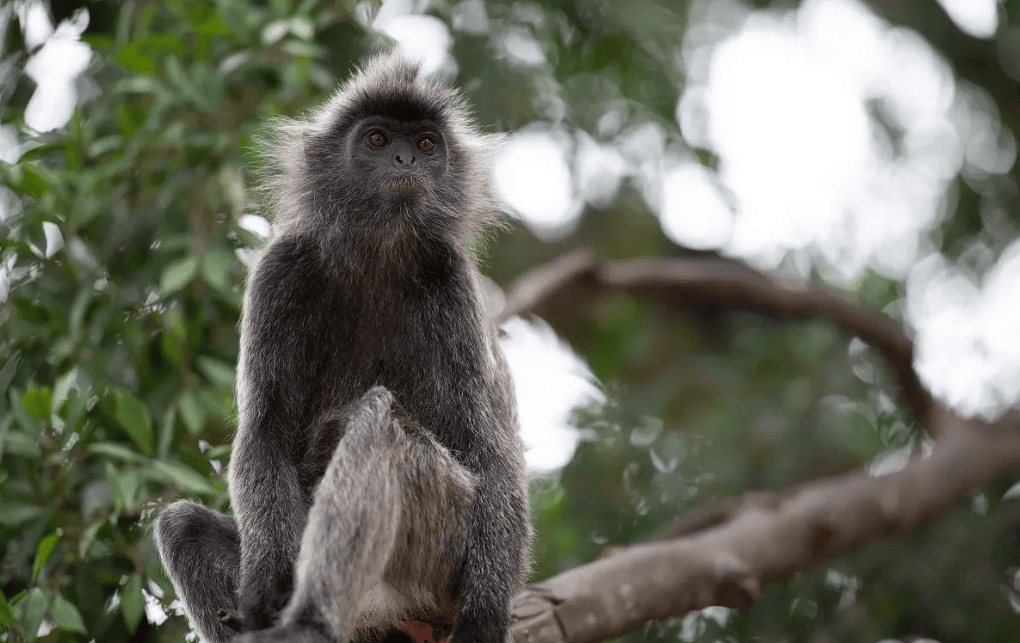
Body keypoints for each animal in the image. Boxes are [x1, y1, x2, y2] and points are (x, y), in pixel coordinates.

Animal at [157, 51, 534, 643]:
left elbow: (490, 449)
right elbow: (264, 433)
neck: (378, 253)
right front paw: (263, 591)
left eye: (426, 145)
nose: (404, 158)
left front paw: (486, 620)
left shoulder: (451, 282)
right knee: (182, 524)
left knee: (380, 420)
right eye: (377, 139)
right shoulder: (280, 271)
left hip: (444, 555)